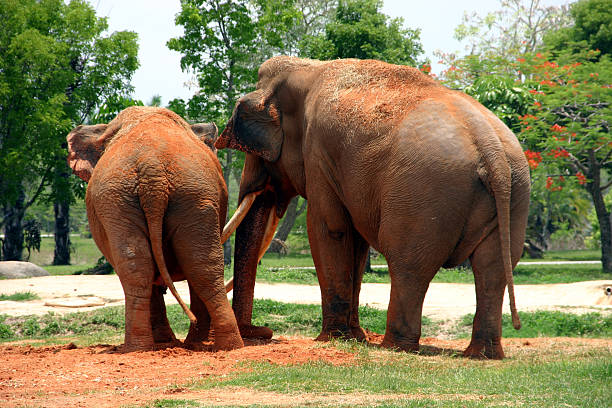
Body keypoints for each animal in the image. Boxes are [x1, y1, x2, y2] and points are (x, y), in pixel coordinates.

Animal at [66, 107, 249, 352]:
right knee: (189, 266)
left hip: (170, 195)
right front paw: (167, 341)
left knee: (180, 266)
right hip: (141, 198)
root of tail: (151, 167)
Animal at [216, 55, 532, 358]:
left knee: (409, 264)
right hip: (515, 194)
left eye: (254, 152)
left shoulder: (318, 153)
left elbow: (330, 230)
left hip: (424, 195)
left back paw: (396, 346)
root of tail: (491, 147)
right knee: (493, 268)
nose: (263, 331)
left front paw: (333, 339)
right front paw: (354, 337)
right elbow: (355, 242)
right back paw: (482, 354)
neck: (307, 68)